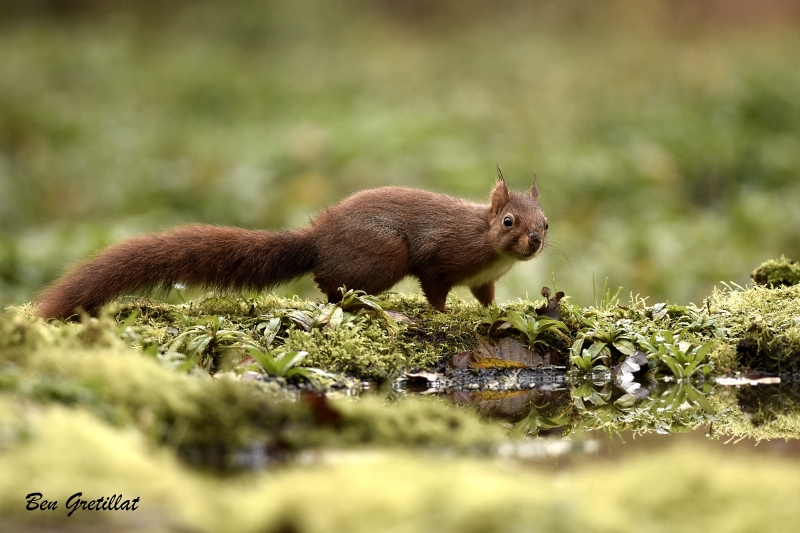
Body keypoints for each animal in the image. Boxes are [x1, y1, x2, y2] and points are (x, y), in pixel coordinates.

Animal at [39, 178, 552, 320]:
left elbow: (485, 297)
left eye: (546, 222)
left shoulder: (485, 279)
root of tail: (318, 235)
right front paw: (442, 317)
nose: (534, 241)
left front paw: (495, 313)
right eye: (508, 221)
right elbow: (436, 289)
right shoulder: (439, 256)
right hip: (384, 254)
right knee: (330, 286)